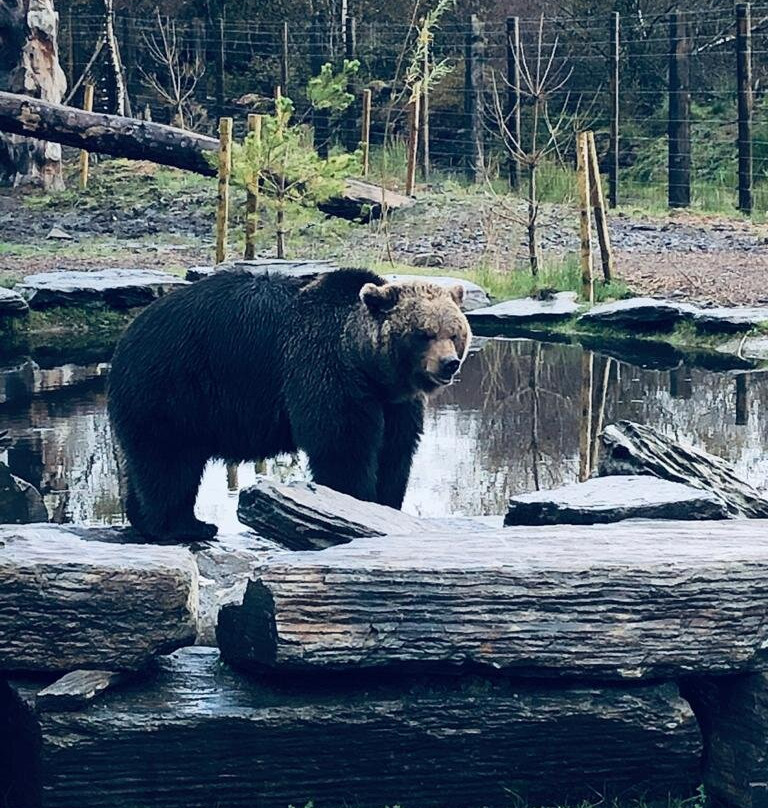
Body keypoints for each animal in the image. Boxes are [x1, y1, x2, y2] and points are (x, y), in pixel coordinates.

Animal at [105, 266, 472, 544]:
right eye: (423, 333)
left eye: (454, 333)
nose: (449, 364)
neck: (367, 366)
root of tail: (128, 335)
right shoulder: (323, 369)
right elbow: (342, 444)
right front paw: (355, 503)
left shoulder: (395, 403)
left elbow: (395, 451)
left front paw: (387, 506)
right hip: (173, 385)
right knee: (168, 460)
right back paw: (181, 526)